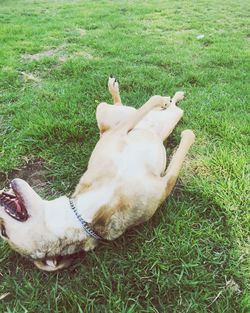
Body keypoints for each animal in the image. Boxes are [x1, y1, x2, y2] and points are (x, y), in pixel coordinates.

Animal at [0, 76, 195, 270]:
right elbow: (180, 152)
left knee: (150, 107)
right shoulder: (164, 184)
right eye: (3, 232)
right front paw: (186, 134)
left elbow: (150, 102)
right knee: (166, 109)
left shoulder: (119, 133)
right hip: (141, 118)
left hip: (121, 116)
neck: (86, 217)